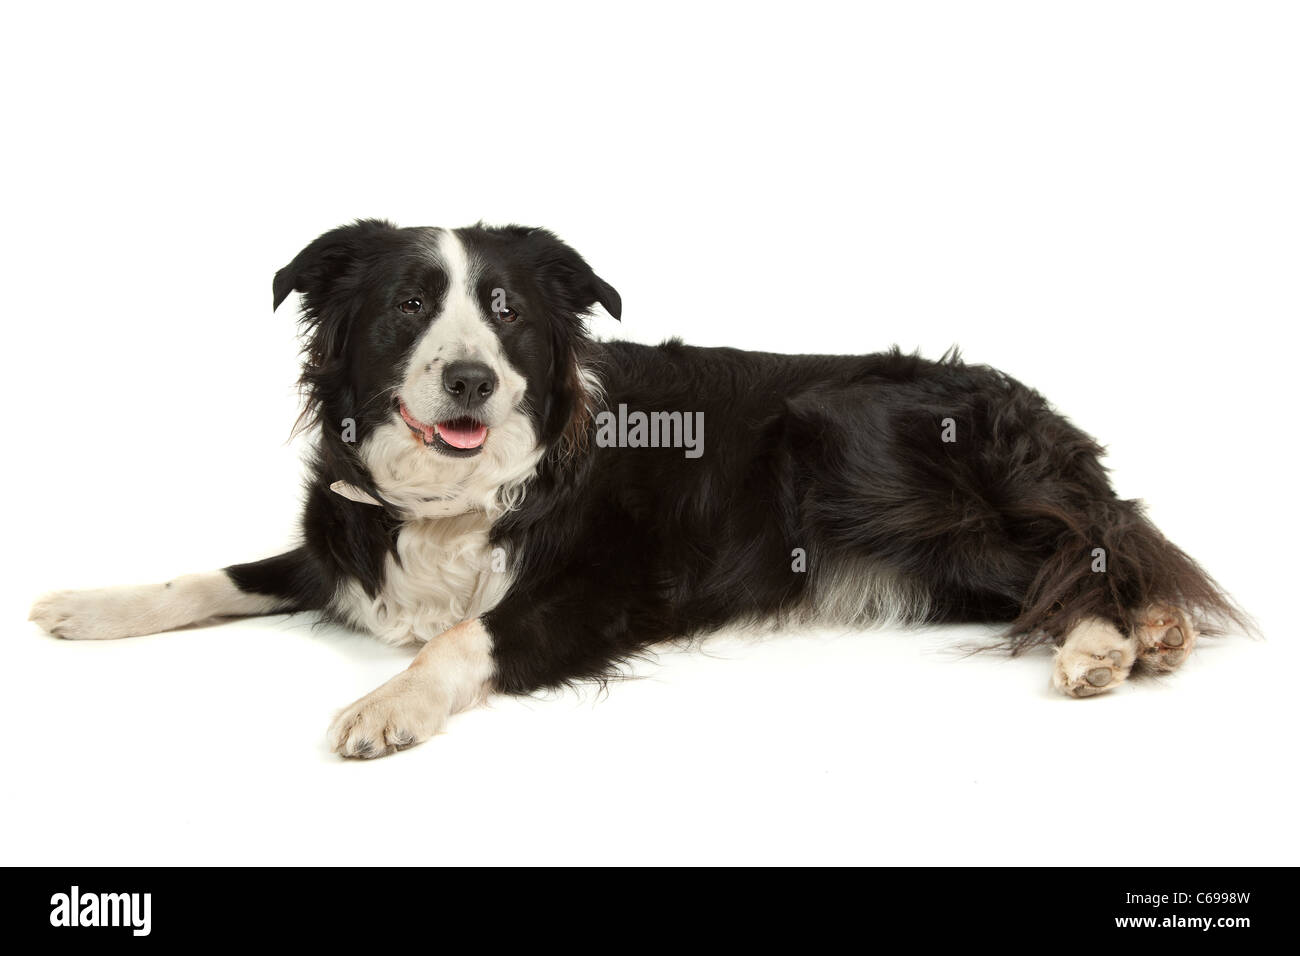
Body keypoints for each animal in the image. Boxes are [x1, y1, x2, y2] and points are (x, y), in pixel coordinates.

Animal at [30, 221, 1242, 759]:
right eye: (410, 305)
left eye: (509, 310)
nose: (471, 378)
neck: (460, 494)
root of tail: (1038, 412)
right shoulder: (342, 543)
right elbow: (215, 574)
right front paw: (87, 604)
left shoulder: (599, 595)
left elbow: (459, 635)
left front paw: (388, 702)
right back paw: (1146, 633)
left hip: (855, 445)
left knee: (1087, 549)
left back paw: (1112, 641)